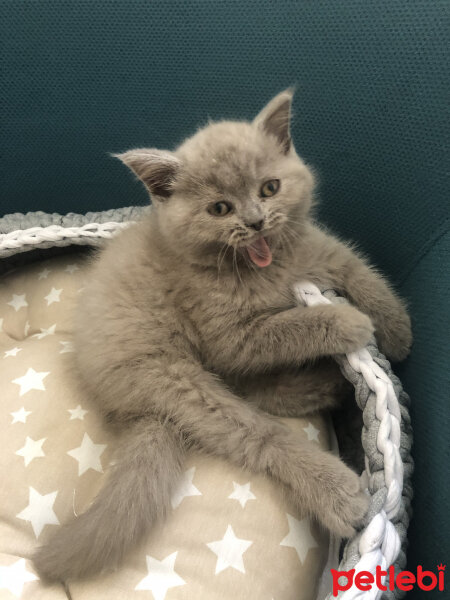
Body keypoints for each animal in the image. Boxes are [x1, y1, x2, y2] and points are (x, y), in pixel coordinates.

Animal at [32, 89, 412, 580]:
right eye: (219, 208)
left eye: (269, 188)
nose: (255, 221)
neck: (265, 268)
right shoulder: (230, 337)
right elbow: (288, 327)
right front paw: (349, 322)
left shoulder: (317, 250)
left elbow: (358, 269)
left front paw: (396, 329)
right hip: (172, 377)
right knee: (256, 433)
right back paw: (338, 490)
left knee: (252, 391)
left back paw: (324, 385)